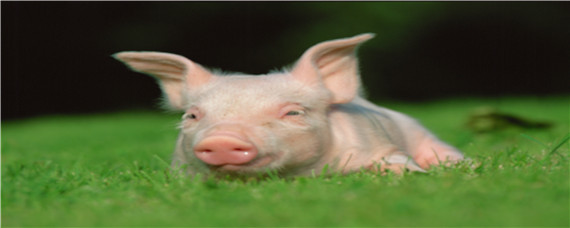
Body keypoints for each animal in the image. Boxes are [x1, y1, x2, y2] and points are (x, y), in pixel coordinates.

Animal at [114, 33, 462, 177]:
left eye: (293, 112)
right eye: (192, 115)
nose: (223, 138)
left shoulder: (380, 146)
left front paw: (412, 174)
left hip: (421, 133)